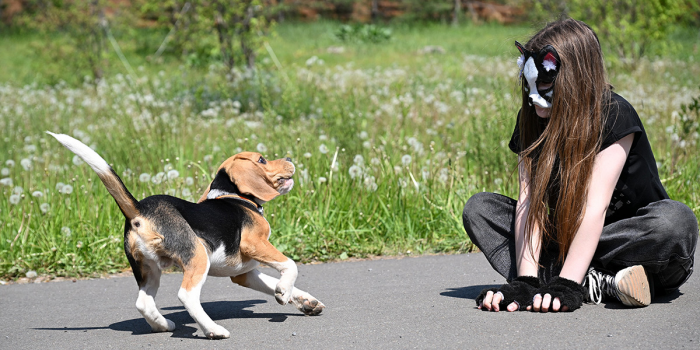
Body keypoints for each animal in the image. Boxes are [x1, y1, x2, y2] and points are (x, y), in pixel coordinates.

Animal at [46, 132, 326, 340]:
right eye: (262, 160)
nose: (289, 157)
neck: (233, 195)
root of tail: (140, 209)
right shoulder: (255, 243)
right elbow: (290, 266)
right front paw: (283, 292)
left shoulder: (244, 273)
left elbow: (277, 282)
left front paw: (304, 301)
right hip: (198, 256)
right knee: (186, 296)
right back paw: (213, 330)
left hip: (147, 269)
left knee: (143, 302)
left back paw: (162, 325)